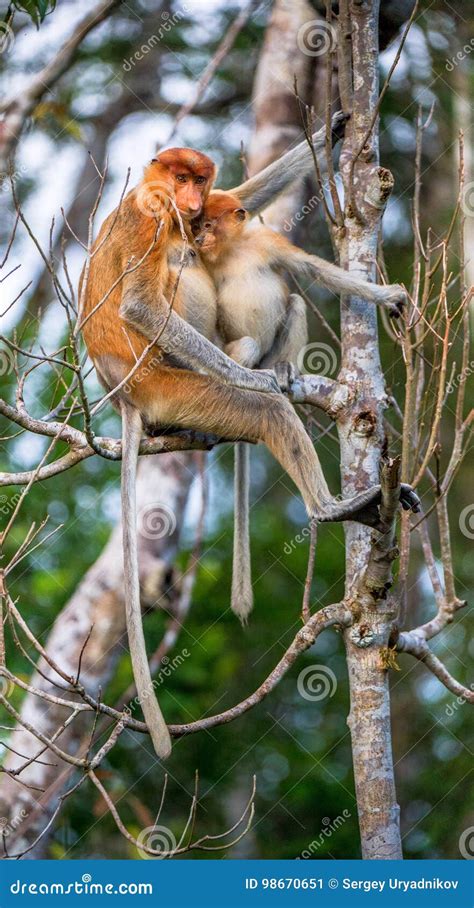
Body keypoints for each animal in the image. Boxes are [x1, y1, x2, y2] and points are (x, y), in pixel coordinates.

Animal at [193, 188, 412, 620]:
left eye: (210, 223)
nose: (201, 237)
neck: (233, 251)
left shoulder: (267, 243)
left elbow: (314, 270)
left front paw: (387, 296)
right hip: (246, 352)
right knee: (246, 344)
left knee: (294, 303)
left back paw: (283, 370)